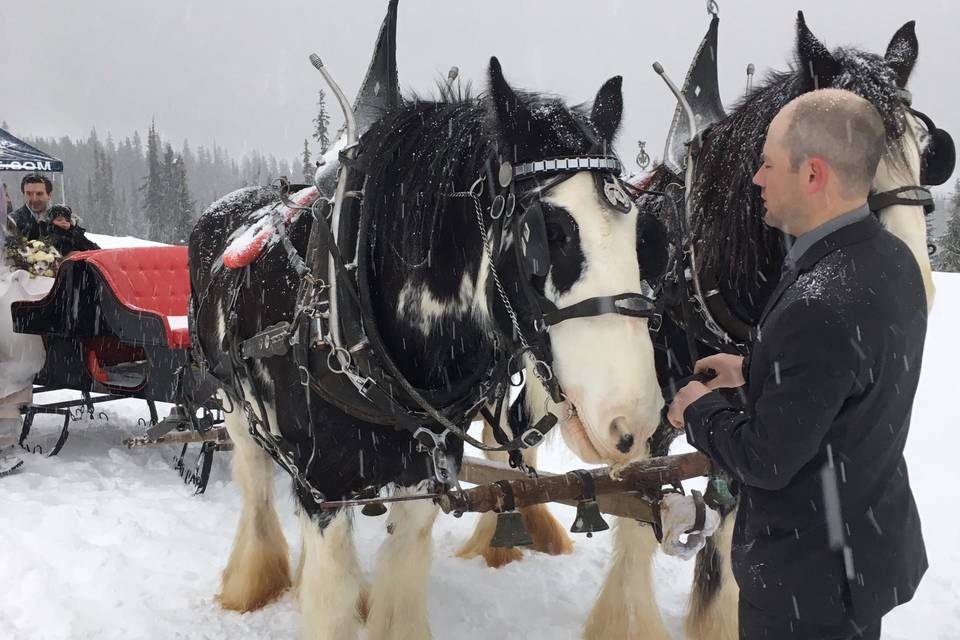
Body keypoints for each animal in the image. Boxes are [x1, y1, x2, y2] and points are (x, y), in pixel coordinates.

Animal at [190, 57, 664, 636]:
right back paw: (254, 581)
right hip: (237, 406)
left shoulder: (426, 473)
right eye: (547, 233)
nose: (633, 421)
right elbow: (329, 598)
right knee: (255, 486)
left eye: (644, 235)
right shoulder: (323, 486)